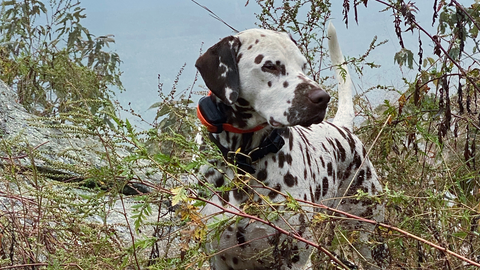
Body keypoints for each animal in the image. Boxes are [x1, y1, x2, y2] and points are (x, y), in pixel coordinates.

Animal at [193, 23, 384, 270]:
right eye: (270, 65)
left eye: (302, 65)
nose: (322, 98)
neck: (245, 162)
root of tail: (341, 126)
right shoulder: (218, 258)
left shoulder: (295, 257)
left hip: (371, 239)